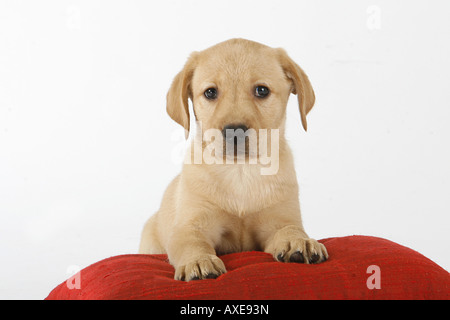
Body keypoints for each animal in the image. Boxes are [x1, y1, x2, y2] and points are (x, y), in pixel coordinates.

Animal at [139, 38, 328, 282]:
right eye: (210, 92)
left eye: (262, 90)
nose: (234, 132)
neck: (240, 171)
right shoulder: (190, 226)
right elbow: (192, 243)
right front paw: (198, 261)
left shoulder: (279, 220)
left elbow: (290, 228)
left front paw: (300, 241)